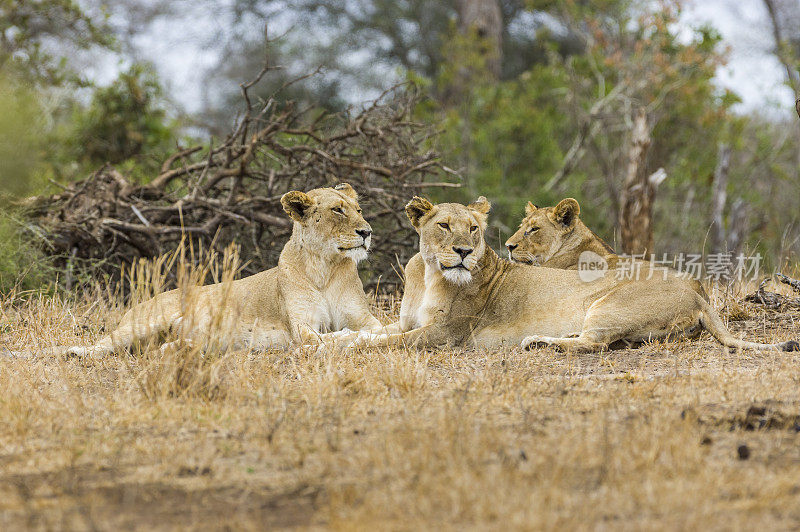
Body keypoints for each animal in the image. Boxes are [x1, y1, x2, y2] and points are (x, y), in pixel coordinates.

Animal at [328, 195, 796, 354]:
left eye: (474, 229)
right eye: (444, 226)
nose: (464, 252)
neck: (428, 272)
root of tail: (699, 293)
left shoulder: (445, 335)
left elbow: (382, 343)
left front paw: (336, 348)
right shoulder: (408, 322)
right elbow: (373, 332)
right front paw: (329, 339)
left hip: (609, 305)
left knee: (594, 344)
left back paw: (539, 342)